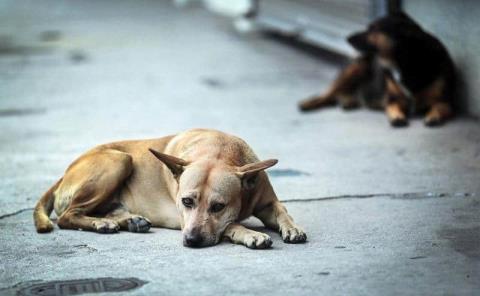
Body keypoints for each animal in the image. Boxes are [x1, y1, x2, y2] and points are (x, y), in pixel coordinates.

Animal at [33, 129, 306, 247]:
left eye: (218, 206)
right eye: (186, 201)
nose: (192, 240)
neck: (219, 151)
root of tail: (64, 173)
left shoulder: (267, 202)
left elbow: (282, 211)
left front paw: (292, 228)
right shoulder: (185, 219)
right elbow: (232, 224)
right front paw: (249, 233)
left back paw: (127, 220)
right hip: (119, 160)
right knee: (67, 216)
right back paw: (102, 224)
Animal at [298, 11, 456, 126]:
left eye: (373, 29)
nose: (347, 38)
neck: (406, 63)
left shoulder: (445, 101)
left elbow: (439, 107)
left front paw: (433, 116)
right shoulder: (392, 99)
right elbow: (392, 106)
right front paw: (397, 117)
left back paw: (348, 101)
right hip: (356, 68)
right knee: (327, 94)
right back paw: (307, 103)